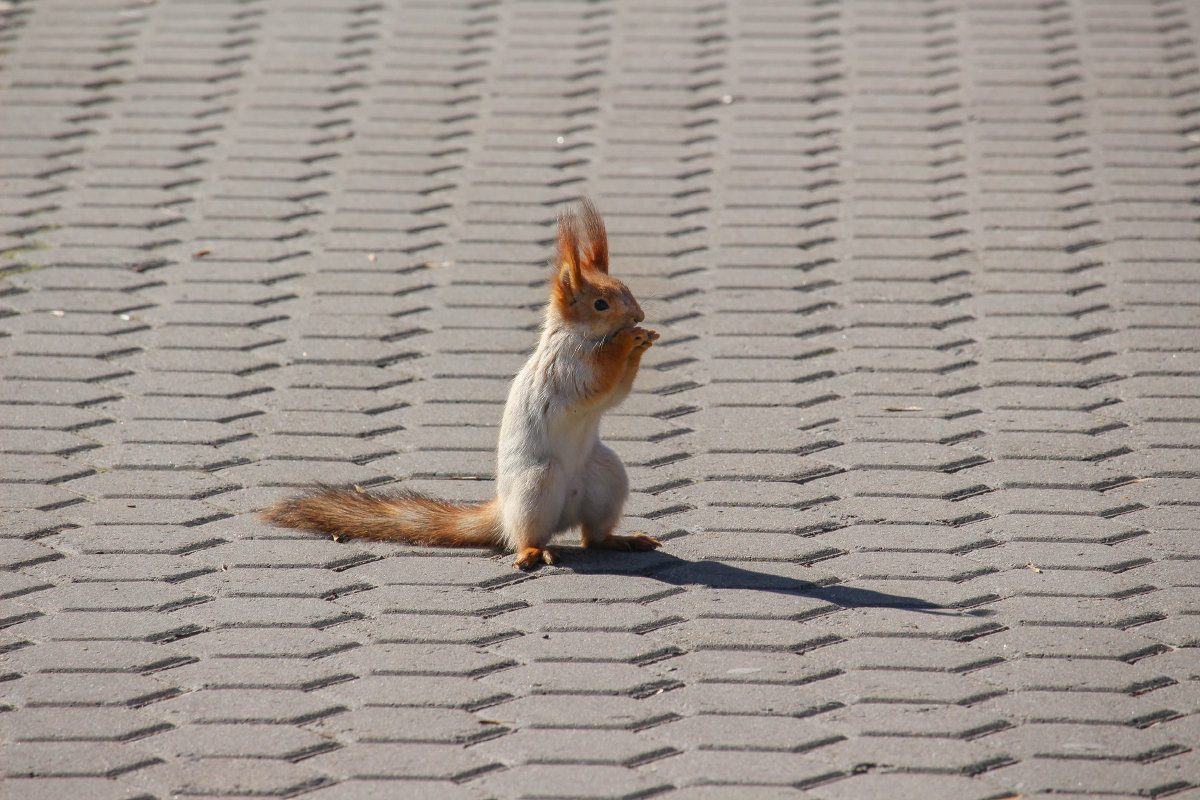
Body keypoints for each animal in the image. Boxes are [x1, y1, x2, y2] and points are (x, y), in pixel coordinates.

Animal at [259, 203, 667, 573]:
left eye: (626, 289)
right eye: (600, 304)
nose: (639, 316)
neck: (576, 336)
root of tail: (503, 512)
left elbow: (614, 393)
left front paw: (643, 340)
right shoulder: (566, 369)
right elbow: (597, 383)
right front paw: (627, 340)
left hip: (606, 476)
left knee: (592, 536)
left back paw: (621, 539)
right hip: (539, 485)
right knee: (528, 535)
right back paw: (533, 552)